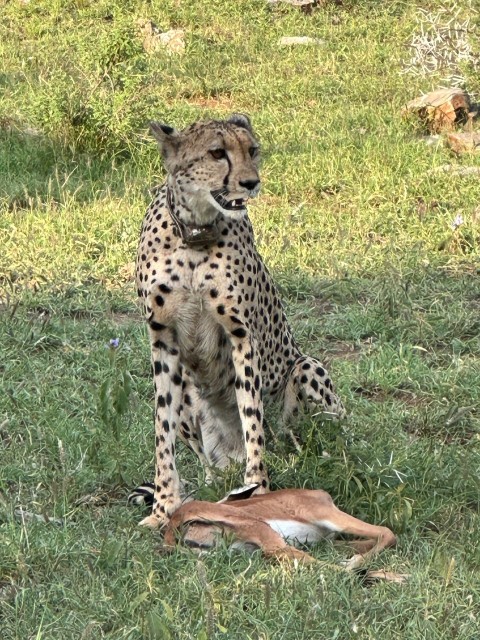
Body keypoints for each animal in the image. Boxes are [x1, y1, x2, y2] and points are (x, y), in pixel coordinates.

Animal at [135, 113, 345, 528]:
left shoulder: (241, 335)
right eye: (217, 153)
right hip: (191, 395)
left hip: (306, 370)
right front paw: (164, 507)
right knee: (208, 464)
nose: (251, 182)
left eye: (253, 149)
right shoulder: (163, 339)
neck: (195, 235)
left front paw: (258, 491)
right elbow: (162, 429)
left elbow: (251, 418)